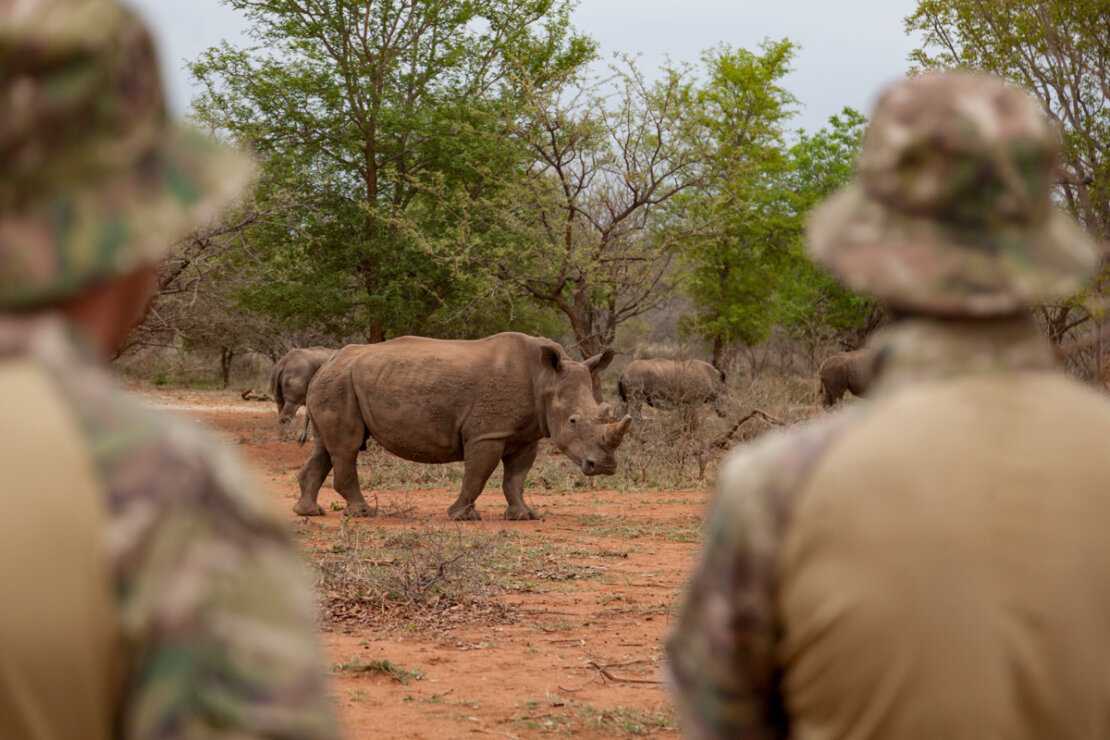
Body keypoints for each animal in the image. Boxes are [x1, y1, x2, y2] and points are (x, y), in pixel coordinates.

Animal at [293, 332, 631, 521]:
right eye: (573, 421)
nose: (604, 467)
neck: (545, 379)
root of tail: (327, 361)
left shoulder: (526, 435)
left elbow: (516, 478)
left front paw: (525, 516)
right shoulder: (487, 433)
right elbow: (477, 475)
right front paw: (462, 516)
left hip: (335, 382)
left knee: (326, 449)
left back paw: (309, 512)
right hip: (339, 383)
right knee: (346, 449)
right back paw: (364, 513)